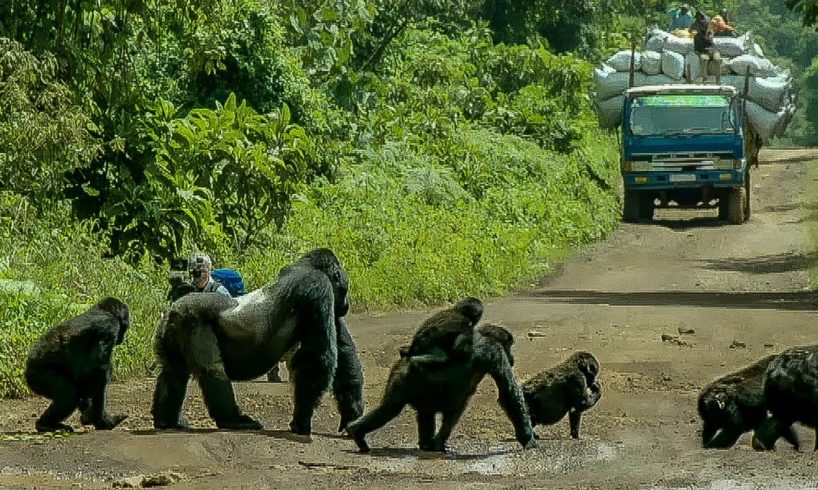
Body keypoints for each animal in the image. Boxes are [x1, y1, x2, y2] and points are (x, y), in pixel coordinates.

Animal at [24, 296, 131, 430]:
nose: (122, 338)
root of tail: (26, 369)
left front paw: (90, 416)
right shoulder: (109, 326)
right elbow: (98, 370)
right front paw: (102, 419)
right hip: (39, 376)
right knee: (69, 394)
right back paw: (45, 425)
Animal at [149, 249, 364, 432]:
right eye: (344, 287)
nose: (346, 305)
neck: (308, 266)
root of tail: (172, 310)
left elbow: (342, 355)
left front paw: (352, 414)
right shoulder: (318, 288)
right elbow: (317, 358)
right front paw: (301, 420)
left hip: (171, 328)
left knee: (173, 371)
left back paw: (167, 420)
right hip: (191, 319)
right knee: (213, 370)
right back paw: (233, 420)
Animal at [344, 324, 536, 454]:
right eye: (509, 345)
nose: (512, 356)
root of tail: (405, 357)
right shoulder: (495, 352)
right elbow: (509, 392)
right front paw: (528, 439)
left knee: (430, 412)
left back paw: (429, 444)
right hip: (402, 378)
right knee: (390, 409)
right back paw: (356, 431)